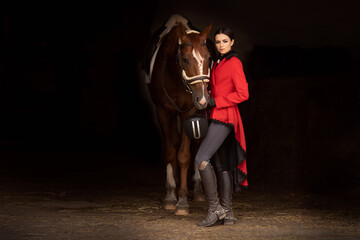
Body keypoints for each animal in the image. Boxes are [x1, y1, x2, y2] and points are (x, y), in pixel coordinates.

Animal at [148, 17, 212, 215]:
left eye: (209, 58)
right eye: (185, 59)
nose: (203, 99)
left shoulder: (189, 112)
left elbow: (184, 155)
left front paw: (182, 200)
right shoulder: (162, 111)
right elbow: (170, 152)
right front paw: (170, 196)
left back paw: (197, 190)